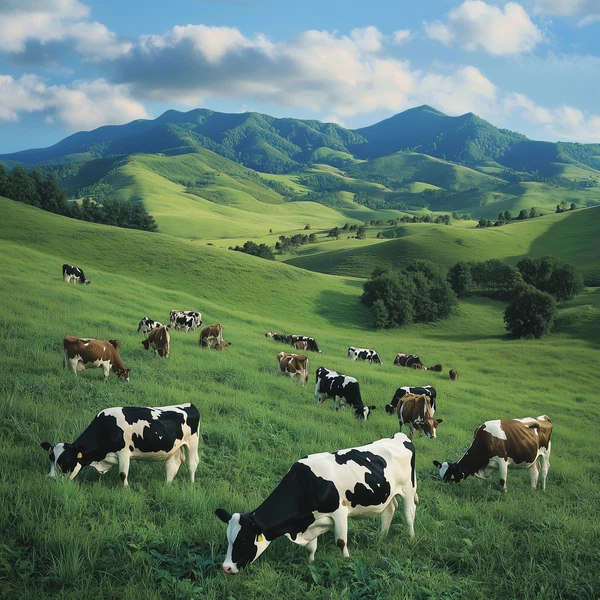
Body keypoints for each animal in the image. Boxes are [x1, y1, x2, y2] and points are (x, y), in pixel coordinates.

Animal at [39, 404, 200, 488]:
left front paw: (126, 489)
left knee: (192, 464)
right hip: (174, 449)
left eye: (64, 462)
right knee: (172, 466)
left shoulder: (123, 452)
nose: (51, 479)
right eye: (51, 459)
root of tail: (189, 405)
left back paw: (191, 484)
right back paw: (167, 485)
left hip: (192, 443)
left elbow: (123, 474)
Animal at [216, 432, 418, 572]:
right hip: (388, 493)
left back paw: (411, 538)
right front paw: (311, 563)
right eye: (229, 539)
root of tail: (400, 436)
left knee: (409, 514)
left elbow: (341, 541)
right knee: (389, 510)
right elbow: (312, 547)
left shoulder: (340, 512)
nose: (226, 568)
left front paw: (346, 561)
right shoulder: (311, 522)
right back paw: (381, 537)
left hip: (408, 489)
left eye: (243, 541)